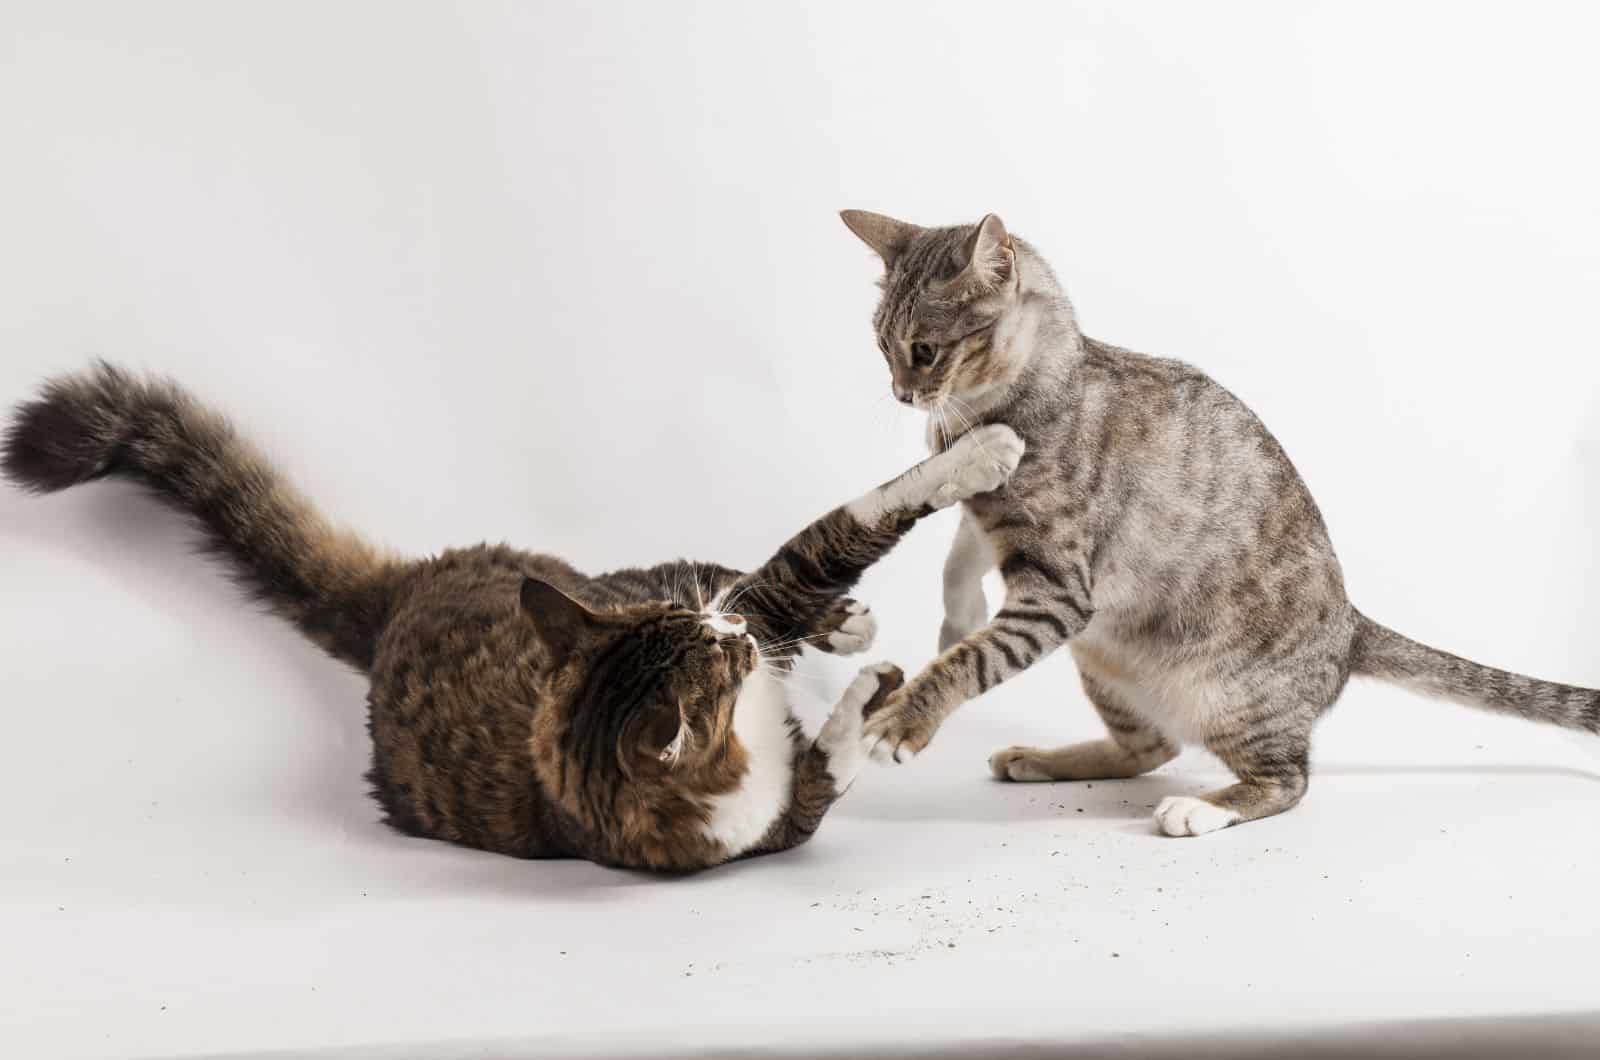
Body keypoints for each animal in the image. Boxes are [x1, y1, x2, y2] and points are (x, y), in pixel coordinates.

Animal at [0, 365, 1024, 871]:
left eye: (705, 644)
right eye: (715, 672)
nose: (732, 638)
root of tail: (402, 600)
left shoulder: (739, 604)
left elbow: (837, 533)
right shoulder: (777, 815)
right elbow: (832, 733)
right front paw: (876, 699)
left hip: (605, 579)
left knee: (739, 574)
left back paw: (841, 622)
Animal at [838, 209, 1600, 839]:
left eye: (926, 350)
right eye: (881, 347)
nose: (902, 394)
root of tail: (1351, 627)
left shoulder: (1058, 591)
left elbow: (974, 658)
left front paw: (906, 717)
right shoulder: (986, 517)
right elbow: (960, 558)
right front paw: (956, 616)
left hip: (1222, 690)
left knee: (1286, 779)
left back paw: (1201, 809)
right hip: (1103, 655)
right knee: (1150, 747)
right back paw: (1043, 759)